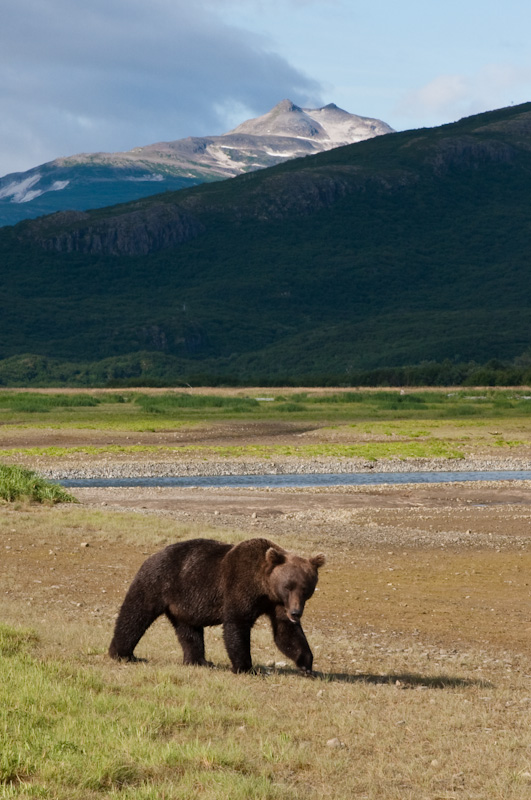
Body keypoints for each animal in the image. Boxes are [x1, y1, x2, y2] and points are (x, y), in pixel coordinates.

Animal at [110, 536, 326, 676]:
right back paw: (123, 654)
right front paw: (245, 667)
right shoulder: (240, 586)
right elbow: (236, 624)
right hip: (156, 581)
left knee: (189, 631)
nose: (296, 612)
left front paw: (306, 665)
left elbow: (285, 632)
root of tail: (151, 556)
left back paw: (199, 660)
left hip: (183, 603)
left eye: (305, 588)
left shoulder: (276, 603)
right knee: (135, 614)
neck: (264, 587)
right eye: (288, 586)